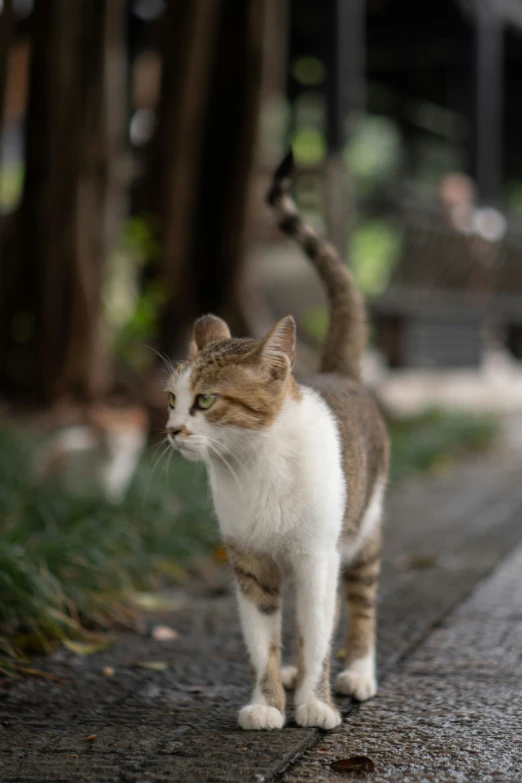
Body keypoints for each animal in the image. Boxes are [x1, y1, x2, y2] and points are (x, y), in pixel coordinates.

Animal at [165, 150, 388, 732]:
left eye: (205, 401)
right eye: (171, 399)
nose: (171, 430)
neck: (255, 463)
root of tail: (339, 371)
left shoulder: (317, 555)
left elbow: (320, 630)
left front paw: (316, 703)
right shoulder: (249, 560)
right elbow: (262, 638)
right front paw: (267, 703)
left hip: (361, 529)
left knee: (358, 602)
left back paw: (357, 672)